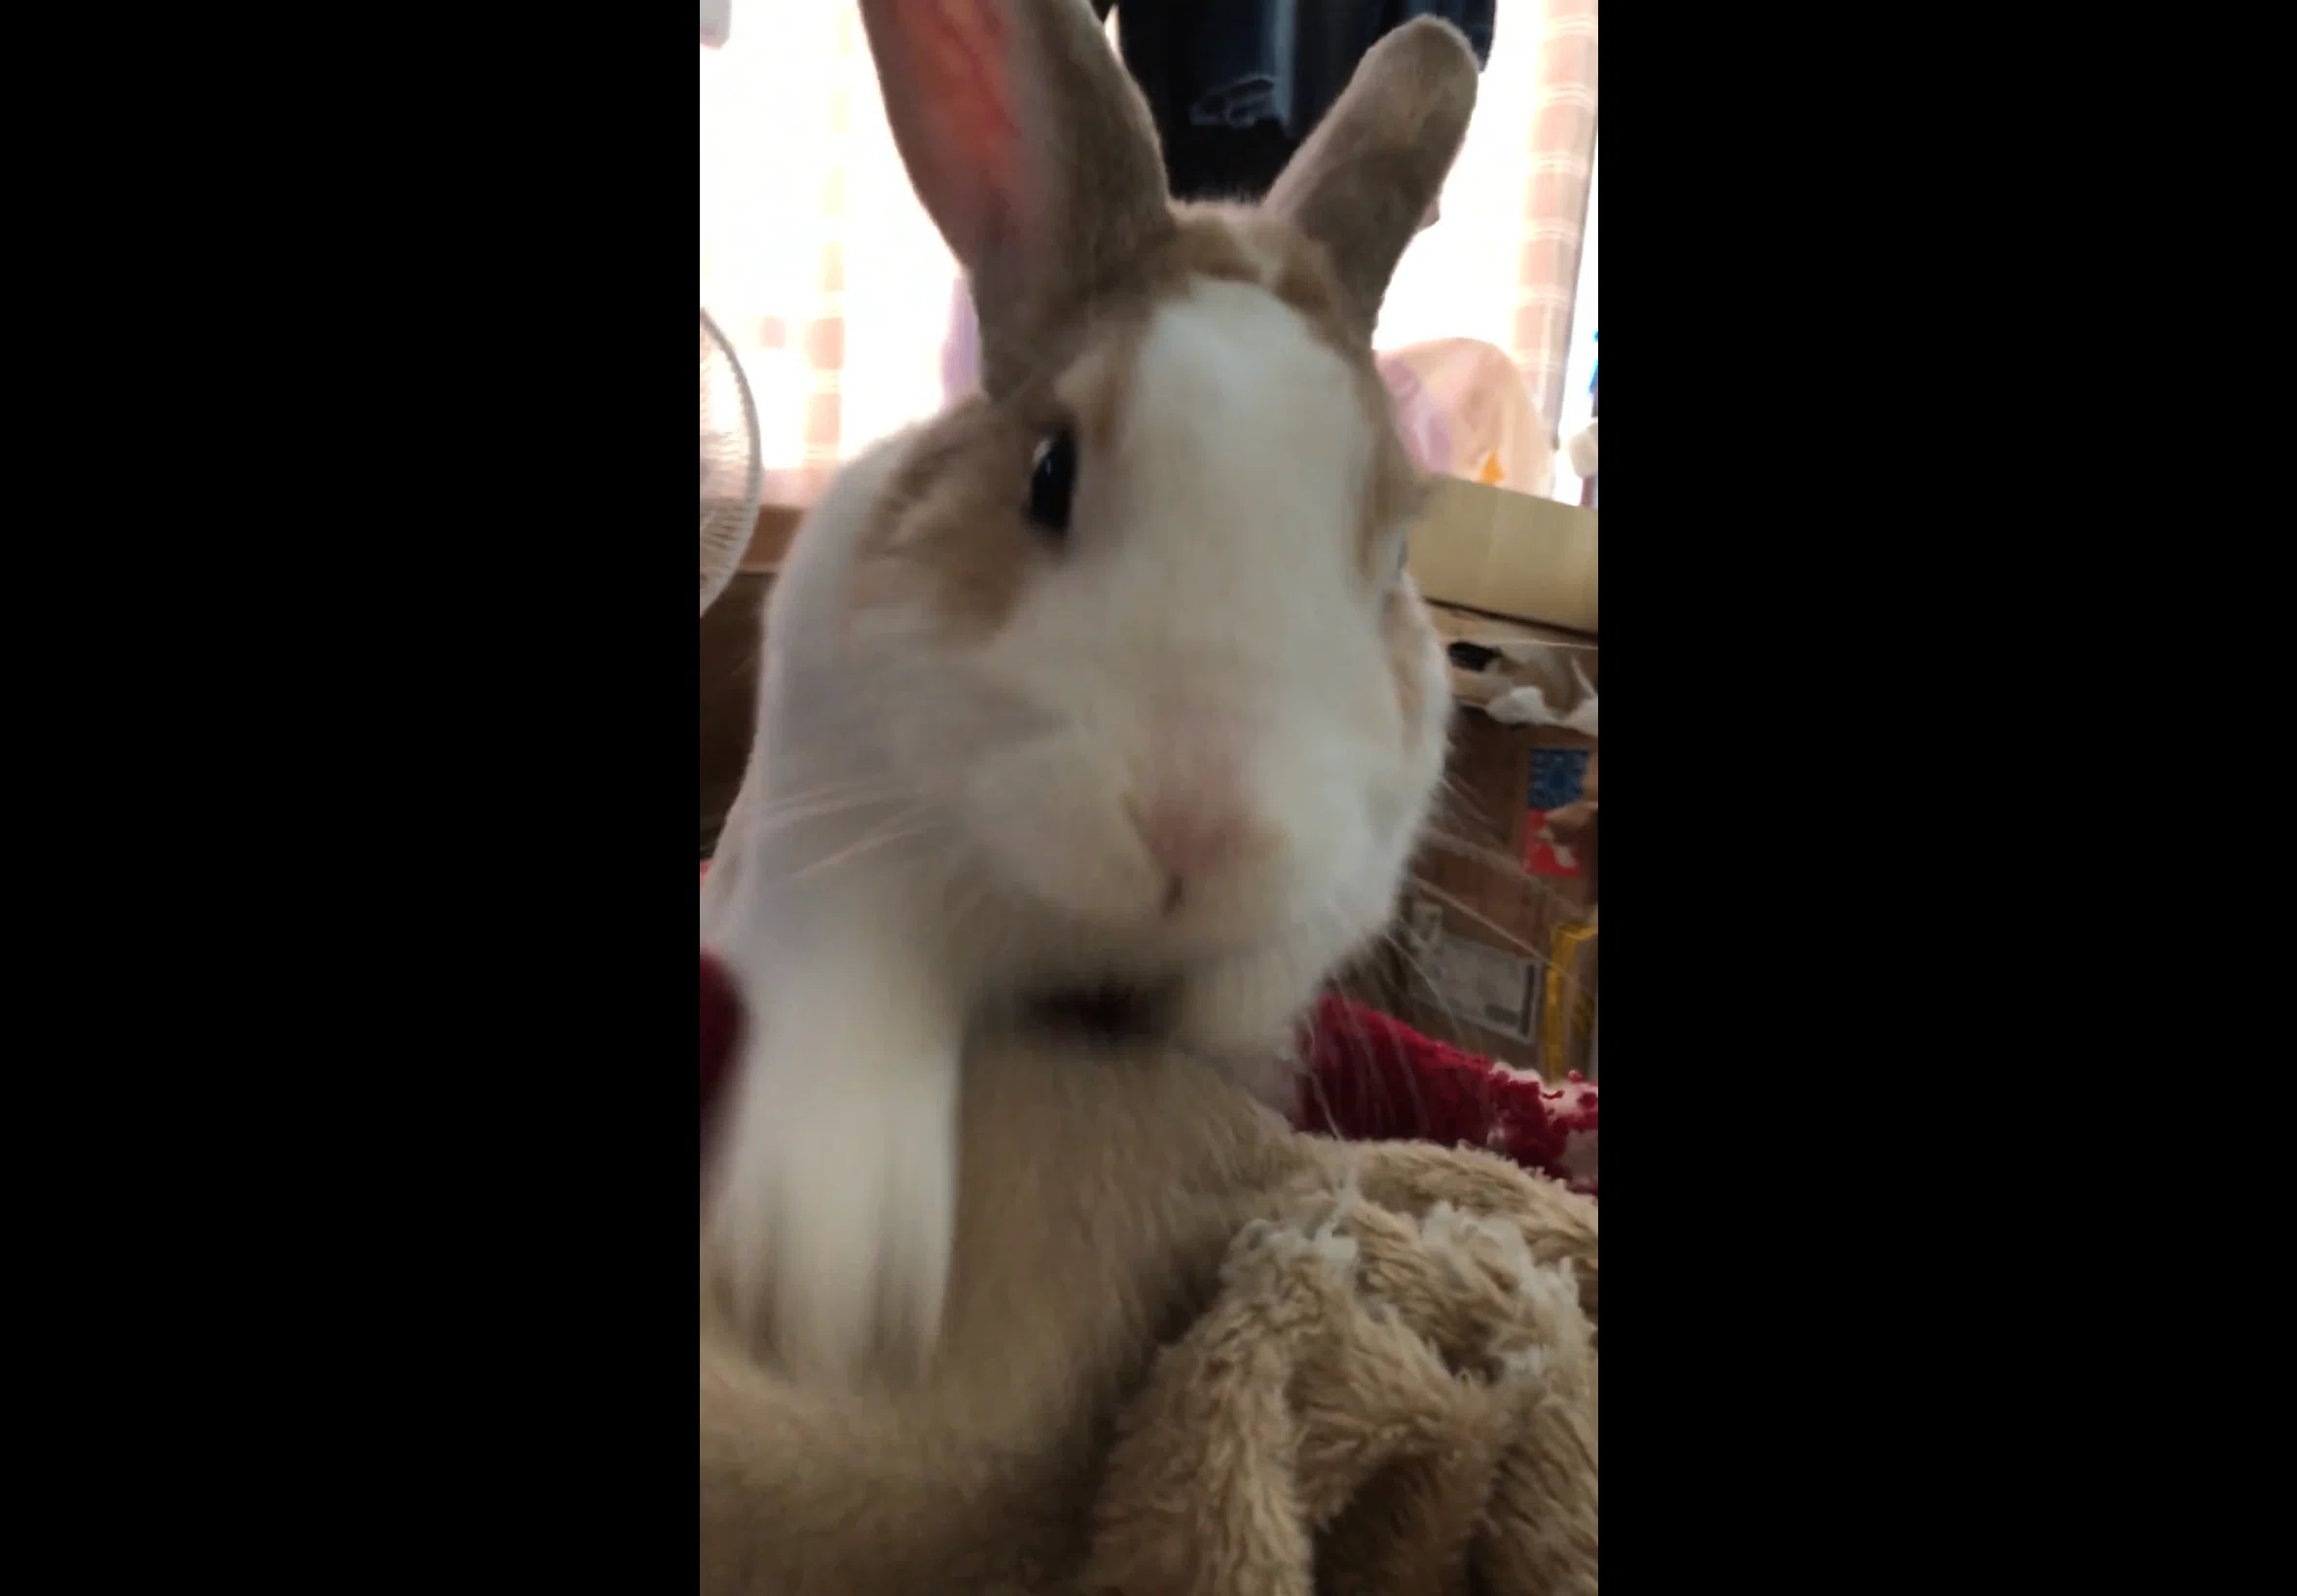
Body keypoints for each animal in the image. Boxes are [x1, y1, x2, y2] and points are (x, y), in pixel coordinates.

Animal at [699, 0, 1480, 1408]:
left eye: (1396, 546)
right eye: (1048, 472)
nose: (1200, 832)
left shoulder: (1301, 932)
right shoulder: (823, 865)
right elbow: (859, 1002)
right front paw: (824, 1297)